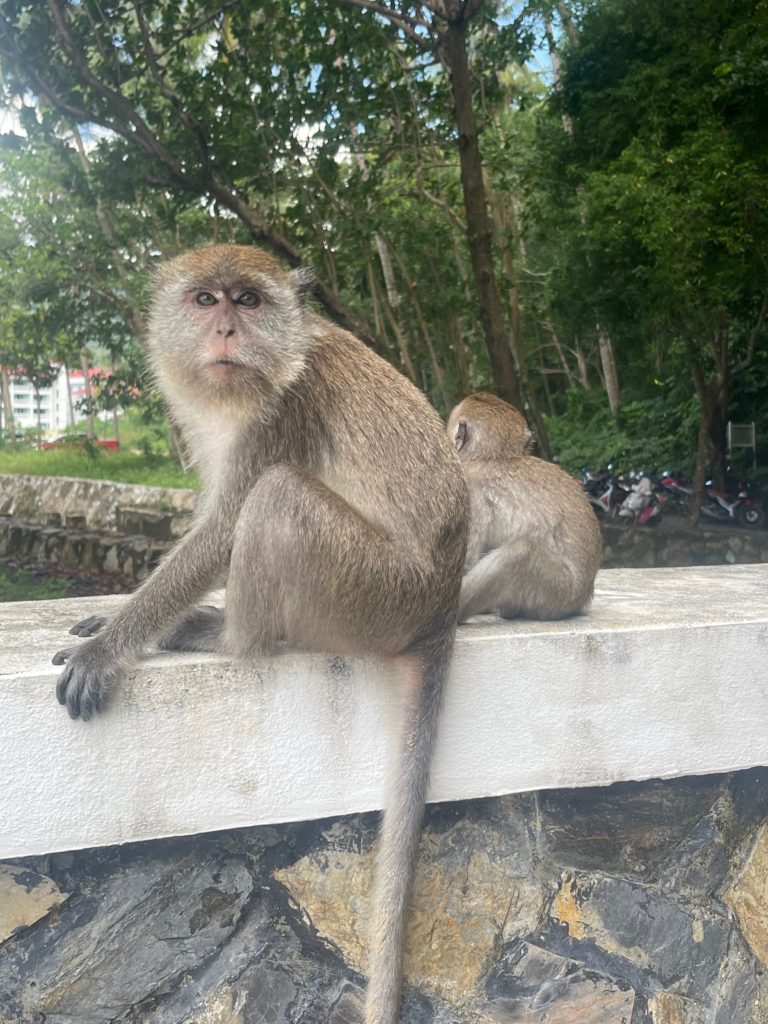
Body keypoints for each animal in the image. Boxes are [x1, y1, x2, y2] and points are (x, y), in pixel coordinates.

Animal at [448, 389, 606, 614]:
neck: (492, 458)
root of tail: (584, 595)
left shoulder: (471, 490)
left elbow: (467, 564)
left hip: (557, 592)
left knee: (518, 554)